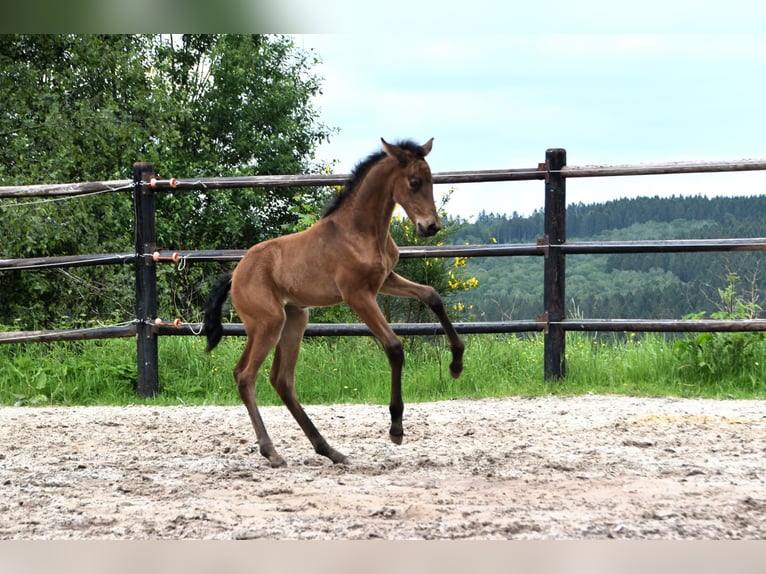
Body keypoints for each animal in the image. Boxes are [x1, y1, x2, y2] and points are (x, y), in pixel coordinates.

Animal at [204, 138, 464, 468]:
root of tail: (236, 273)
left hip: (295, 319)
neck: (361, 231)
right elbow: (394, 346)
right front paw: (396, 428)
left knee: (282, 380)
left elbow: (432, 295)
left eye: (432, 181)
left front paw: (456, 364)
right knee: (245, 375)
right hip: (268, 324)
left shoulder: (386, 280)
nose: (431, 227)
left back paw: (329, 450)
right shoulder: (357, 295)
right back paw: (272, 451)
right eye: (414, 182)